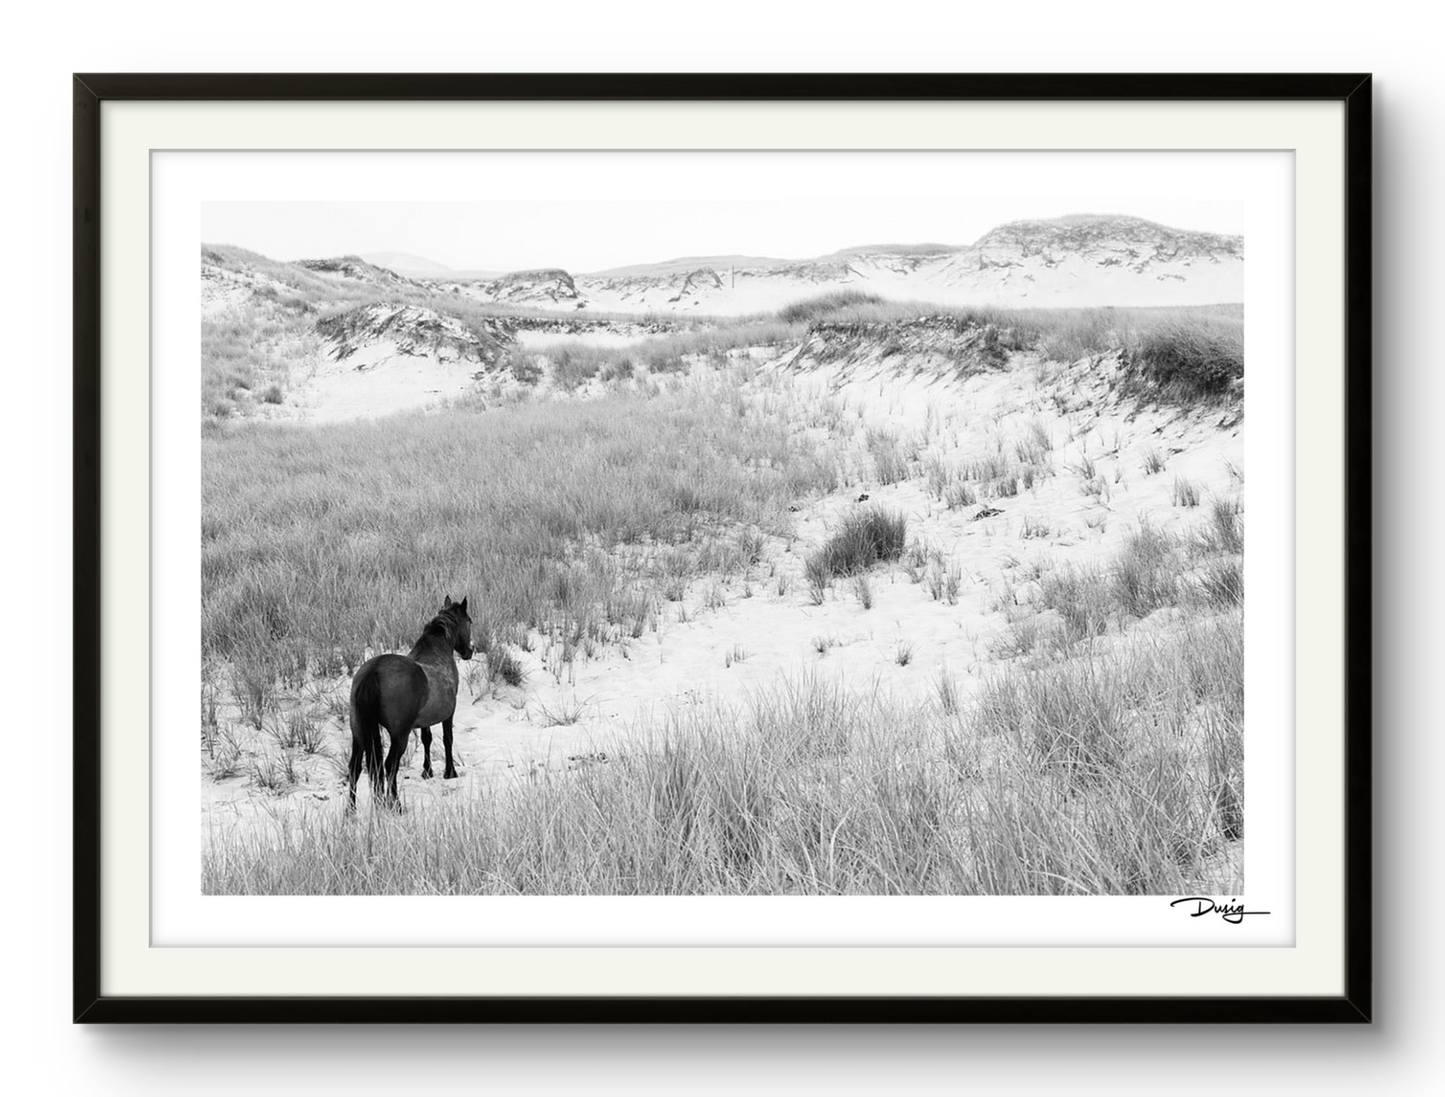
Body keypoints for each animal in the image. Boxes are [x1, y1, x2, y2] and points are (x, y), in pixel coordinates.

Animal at [348, 595, 473, 809]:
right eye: (470, 622)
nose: (470, 651)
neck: (436, 652)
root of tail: (374, 671)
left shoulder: (424, 720)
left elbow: (426, 739)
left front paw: (427, 771)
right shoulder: (448, 713)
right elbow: (447, 738)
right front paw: (450, 772)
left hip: (358, 733)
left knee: (355, 768)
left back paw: (351, 811)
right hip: (399, 736)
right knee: (390, 765)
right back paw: (396, 805)